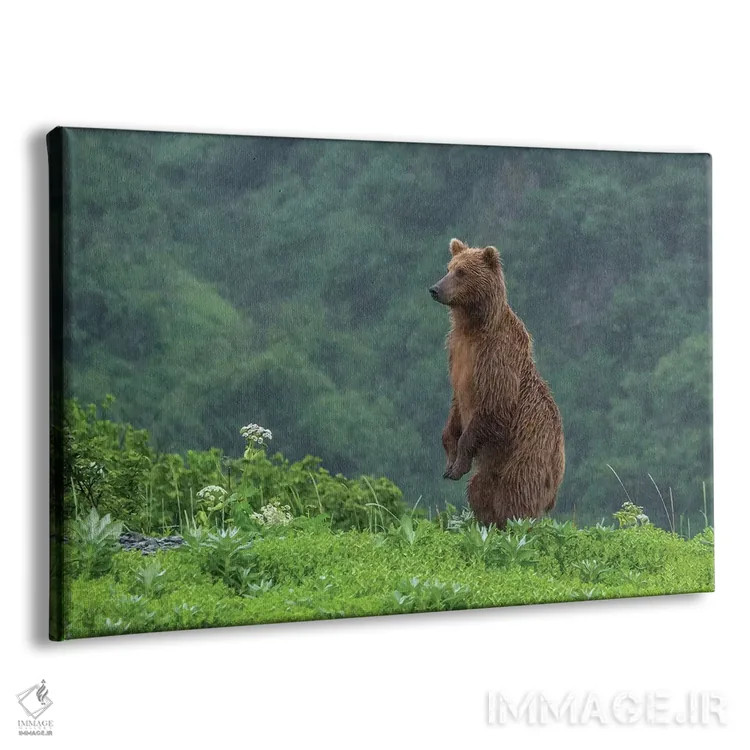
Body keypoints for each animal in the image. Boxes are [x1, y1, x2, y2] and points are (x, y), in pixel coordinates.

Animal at [429, 238, 565, 527]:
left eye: (461, 272)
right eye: (449, 267)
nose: (435, 289)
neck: (473, 326)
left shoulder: (495, 359)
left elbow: (494, 405)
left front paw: (458, 464)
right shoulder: (456, 354)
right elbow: (454, 410)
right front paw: (449, 462)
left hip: (527, 453)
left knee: (517, 491)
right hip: (493, 469)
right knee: (479, 488)